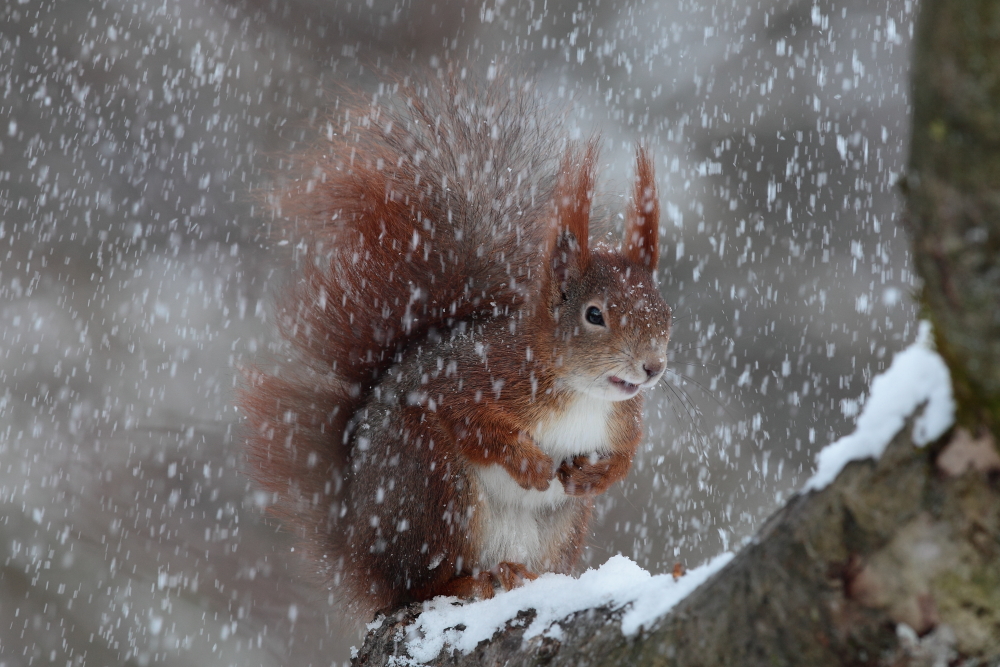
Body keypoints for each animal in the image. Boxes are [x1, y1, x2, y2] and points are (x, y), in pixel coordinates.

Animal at [237, 72, 668, 620]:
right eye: (595, 315)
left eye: (665, 311)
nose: (653, 368)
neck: (581, 392)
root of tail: (358, 553)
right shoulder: (473, 378)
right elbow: (465, 418)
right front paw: (528, 462)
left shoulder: (622, 420)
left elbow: (627, 454)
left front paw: (598, 474)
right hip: (433, 488)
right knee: (417, 585)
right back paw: (466, 582)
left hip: (560, 528)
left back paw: (522, 575)